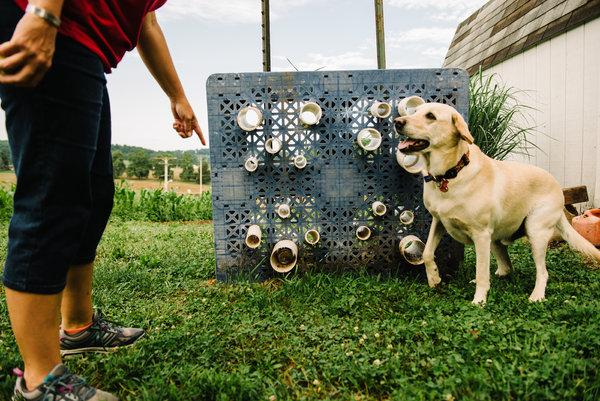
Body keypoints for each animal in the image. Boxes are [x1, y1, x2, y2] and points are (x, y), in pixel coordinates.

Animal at [396, 102, 596, 304]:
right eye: (414, 111)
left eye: (430, 116)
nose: (397, 122)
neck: (450, 174)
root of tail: (557, 187)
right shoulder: (439, 221)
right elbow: (427, 252)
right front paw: (434, 278)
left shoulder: (481, 235)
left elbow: (481, 270)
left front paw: (479, 301)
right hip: (495, 237)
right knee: (507, 267)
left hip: (535, 231)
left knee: (542, 272)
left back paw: (537, 295)